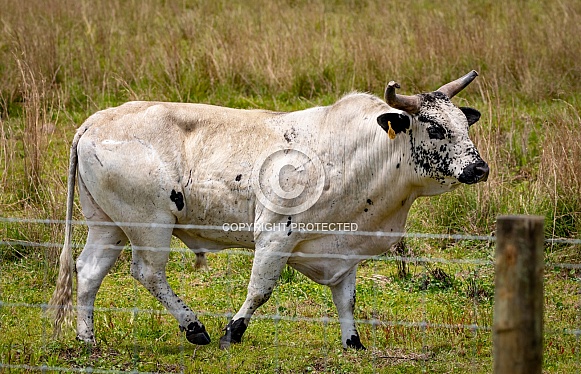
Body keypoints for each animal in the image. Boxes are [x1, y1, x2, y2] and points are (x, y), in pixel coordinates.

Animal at [49, 71, 488, 350]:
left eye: (464, 126)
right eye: (435, 128)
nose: (479, 168)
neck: (357, 153)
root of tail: (96, 119)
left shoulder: (343, 246)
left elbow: (346, 299)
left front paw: (353, 341)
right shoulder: (276, 235)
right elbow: (260, 290)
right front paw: (233, 331)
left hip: (107, 225)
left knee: (89, 271)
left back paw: (87, 339)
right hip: (149, 225)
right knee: (147, 272)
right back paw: (193, 326)